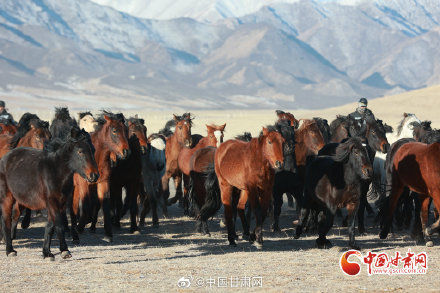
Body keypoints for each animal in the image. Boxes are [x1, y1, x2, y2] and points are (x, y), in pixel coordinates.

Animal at [0, 128, 97, 258]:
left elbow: (51, 226)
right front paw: (65, 250)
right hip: (7, 198)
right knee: (6, 221)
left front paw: (47, 252)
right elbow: (59, 225)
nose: (94, 176)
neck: (55, 171)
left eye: (93, 150)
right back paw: (9, 250)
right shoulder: (52, 202)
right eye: (80, 151)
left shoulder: (60, 203)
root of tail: (5, 158)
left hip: (20, 200)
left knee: (14, 217)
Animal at [73, 110, 129, 241]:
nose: (126, 151)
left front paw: (108, 233)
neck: (95, 157)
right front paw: (80, 227)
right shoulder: (84, 183)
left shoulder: (103, 182)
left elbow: (105, 204)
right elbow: (86, 204)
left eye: (126, 130)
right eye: (114, 130)